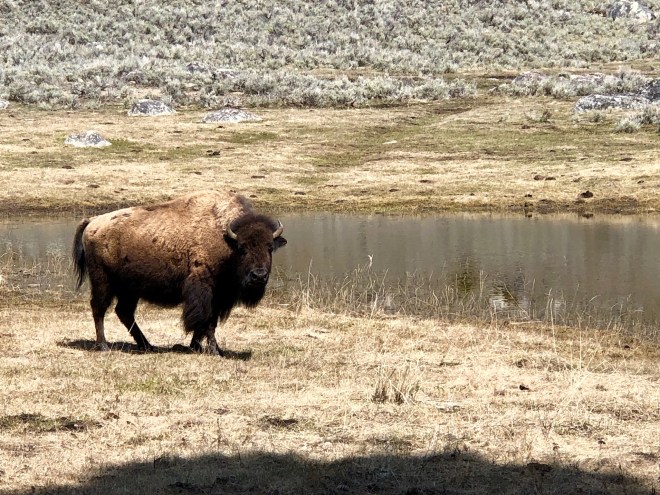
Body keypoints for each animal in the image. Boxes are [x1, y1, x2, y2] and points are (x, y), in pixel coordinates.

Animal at [72, 191, 287, 355]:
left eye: (270, 247)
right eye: (243, 248)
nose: (259, 276)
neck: (225, 240)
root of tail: (92, 222)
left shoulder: (220, 296)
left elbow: (208, 323)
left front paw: (197, 347)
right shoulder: (204, 290)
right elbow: (206, 321)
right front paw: (214, 350)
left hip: (130, 289)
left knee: (124, 312)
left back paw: (147, 345)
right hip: (103, 282)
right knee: (99, 309)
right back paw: (103, 345)